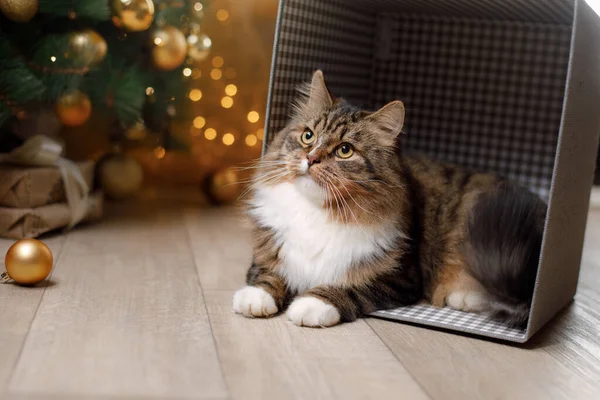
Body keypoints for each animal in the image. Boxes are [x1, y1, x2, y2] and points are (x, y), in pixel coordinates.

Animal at [231, 70, 544, 330]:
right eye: (308, 136)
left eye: (345, 150)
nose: (311, 159)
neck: (317, 211)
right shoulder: (270, 249)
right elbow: (267, 274)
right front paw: (254, 299)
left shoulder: (399, 278)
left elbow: (348, 288)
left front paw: (310, 304)